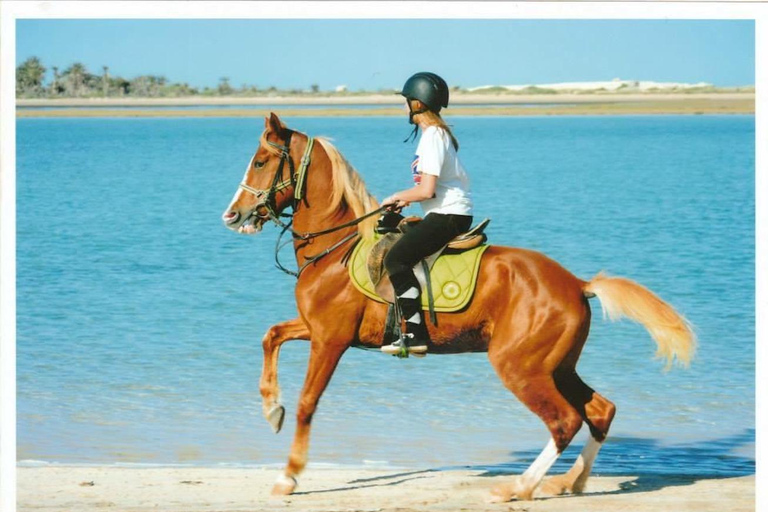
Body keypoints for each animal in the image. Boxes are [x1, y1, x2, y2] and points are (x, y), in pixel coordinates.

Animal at [221, 113, 696, 501]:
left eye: (260, 162)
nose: (232, 215)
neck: (334, 248)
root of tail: (577, 284)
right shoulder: (314, 327)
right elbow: (271, 336)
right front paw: (271, 410)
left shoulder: (330, 339)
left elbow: (307, 402)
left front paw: (288, 476)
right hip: (556, 365)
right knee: (600, 410)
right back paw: (569, 482)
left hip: (520, 366)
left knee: (564, 421)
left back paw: (519, 488)